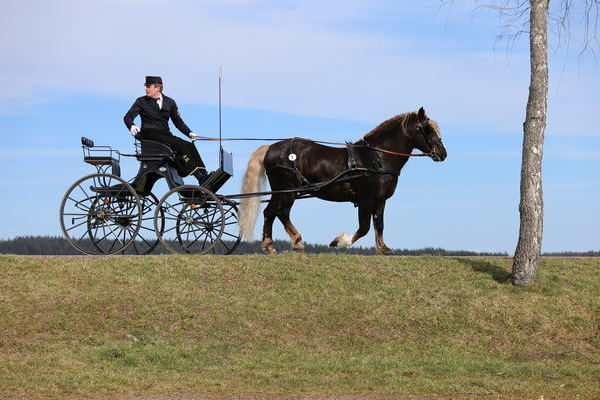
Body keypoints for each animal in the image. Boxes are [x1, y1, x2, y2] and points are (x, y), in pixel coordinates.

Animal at [237, 108, 448, 255]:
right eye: (427, 129)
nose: (443, 153)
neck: (376, 157)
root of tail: (270, 148)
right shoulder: (366, 199)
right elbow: (364, 227)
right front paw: (339, 241)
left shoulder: (380, 200)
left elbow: (379, 224)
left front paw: (383, 248)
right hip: (285, 190)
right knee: (272, 212)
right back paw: (270, 245)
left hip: (287, 192)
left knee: (280, 213)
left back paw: (296, 241)